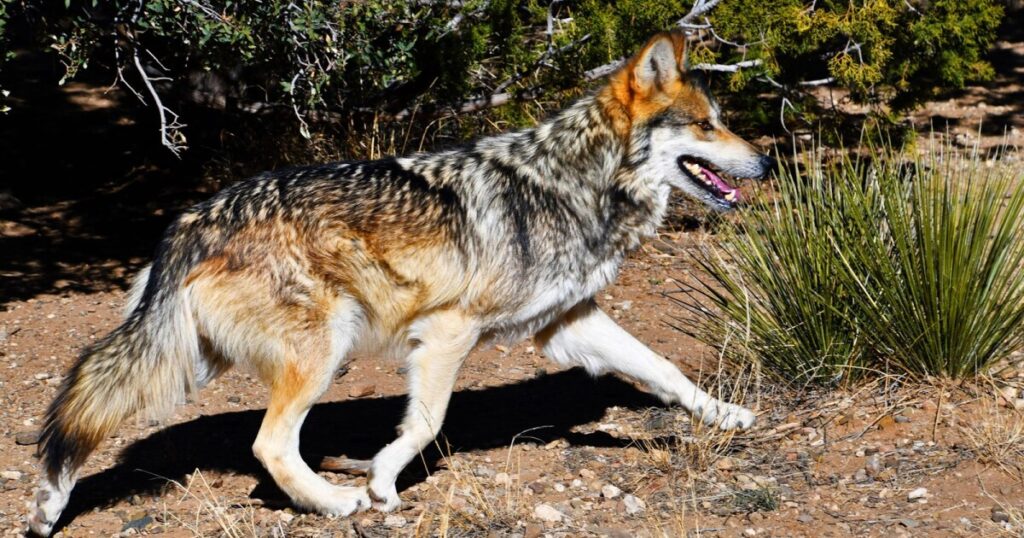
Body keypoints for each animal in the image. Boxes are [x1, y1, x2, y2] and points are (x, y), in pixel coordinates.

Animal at [29, 30, 772, 535]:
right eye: (707, 125)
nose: (765, 160)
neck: (575, 184)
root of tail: (191, 219)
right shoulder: (447, 332)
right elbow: (425, 423)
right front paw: (383, 481)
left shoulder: (568, 323)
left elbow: (664, 369)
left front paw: (729, 415)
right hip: (319, 351)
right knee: (268, 445)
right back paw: (335, 502)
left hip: (187, 362)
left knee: (92, 408)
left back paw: (49, 503)